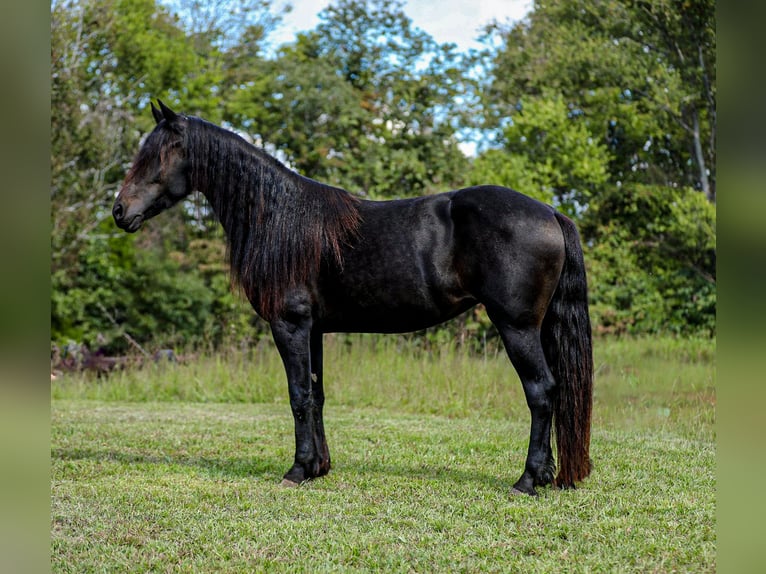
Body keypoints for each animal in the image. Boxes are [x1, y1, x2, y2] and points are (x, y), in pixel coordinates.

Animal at [112, 100, 593, 496]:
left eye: (156, 155)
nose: (119, 211)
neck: (279, 217)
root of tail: (550, 212)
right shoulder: (314, 330)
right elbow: (316, 394)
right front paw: (319, 467)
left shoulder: (289, 324)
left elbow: (297, 395)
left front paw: (297, 471)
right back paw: (546, 476)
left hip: (516, 326)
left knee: (541, 392)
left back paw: (527, 480)